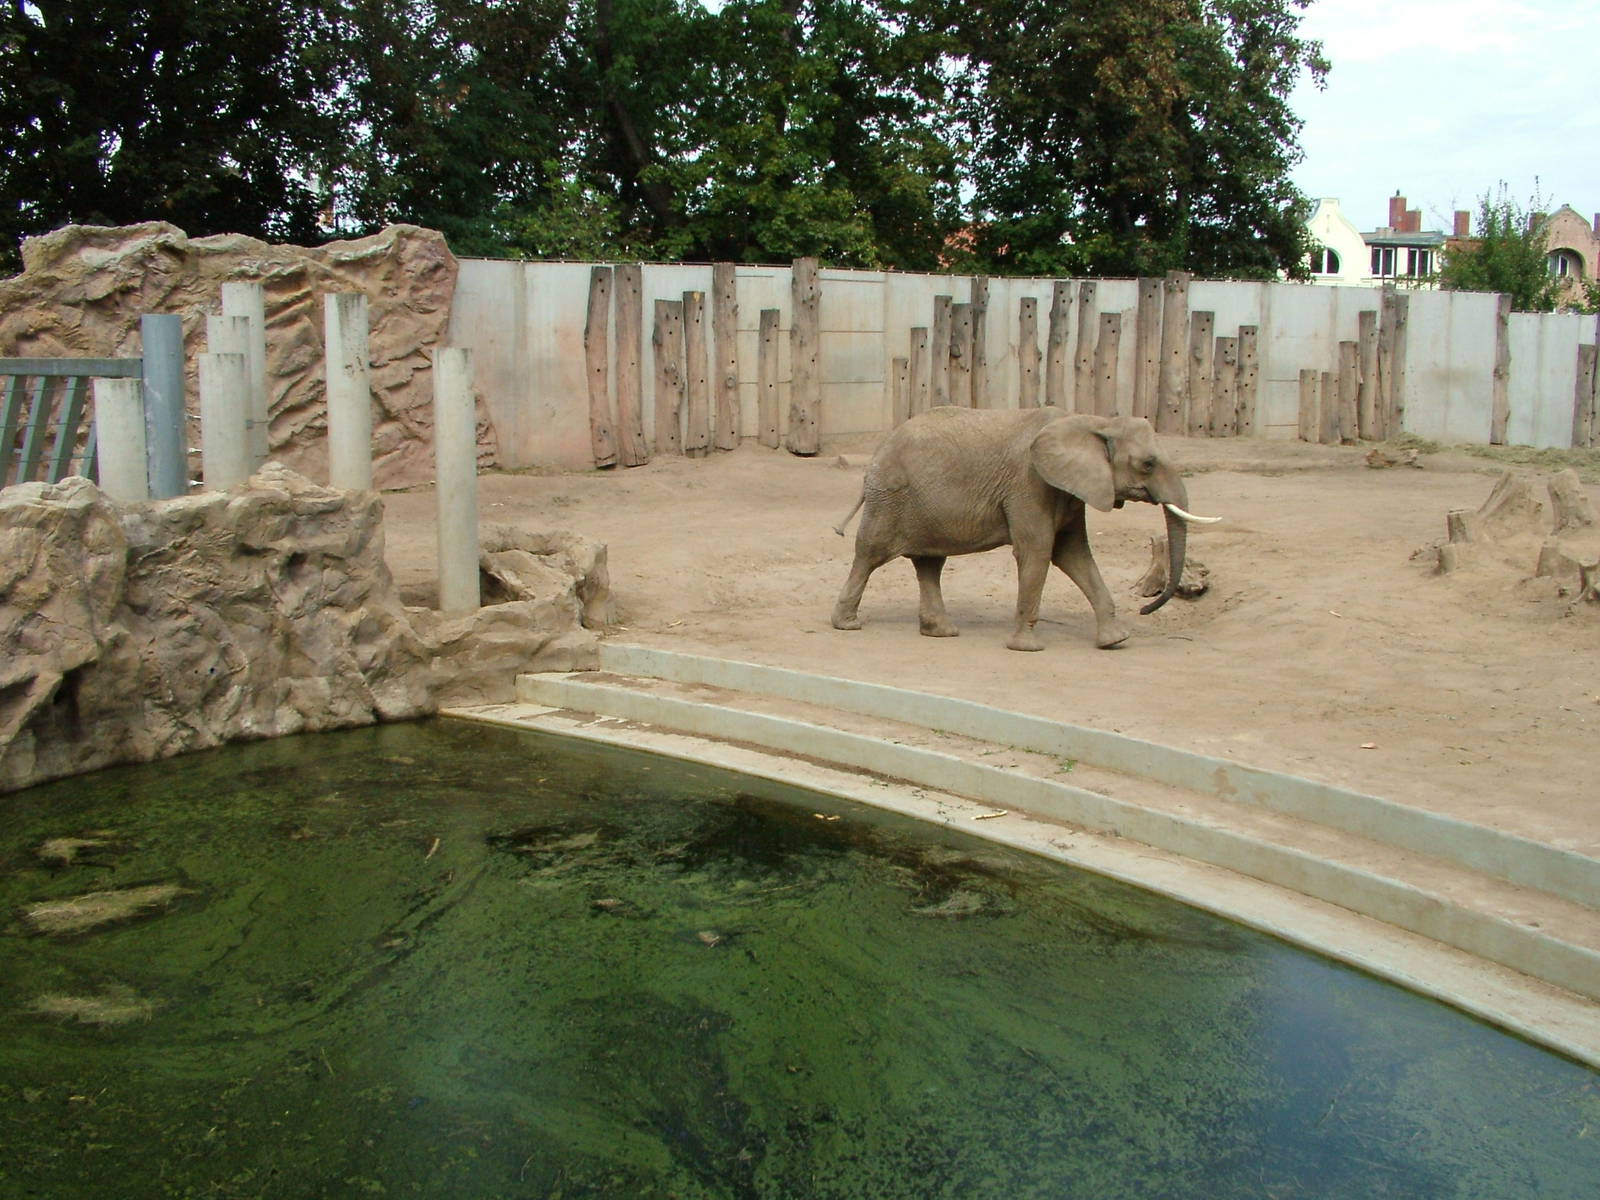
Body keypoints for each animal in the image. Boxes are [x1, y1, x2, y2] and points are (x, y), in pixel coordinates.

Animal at [830, 406, 1218, 650]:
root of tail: (878, 452)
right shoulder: (1030, 484)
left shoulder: (1067, 490)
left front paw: (1115, 641)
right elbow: (1038, 551)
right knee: (870, 554)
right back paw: (846, 625)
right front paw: (1027, 648)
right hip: (890, 497)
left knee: (930, 564)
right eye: (1148, 464)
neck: (1094, 421)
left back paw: (942, 632)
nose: (1144, 609)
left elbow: (1073, 554)